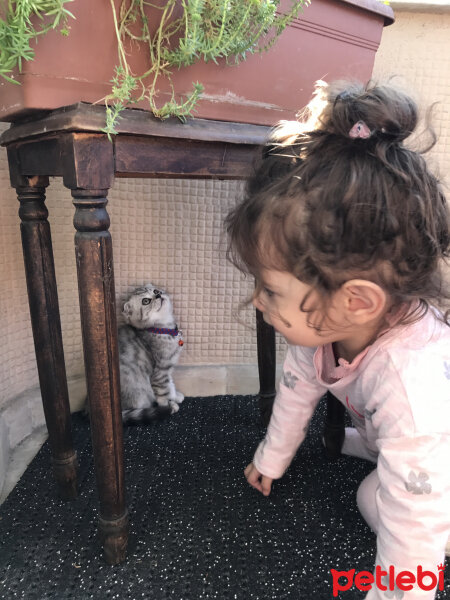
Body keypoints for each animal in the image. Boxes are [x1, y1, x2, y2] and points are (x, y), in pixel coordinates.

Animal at [118, 284, 185, 424]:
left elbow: (170, 384)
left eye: (155, 291)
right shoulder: (160, 373)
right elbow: (164, 392)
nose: (158, 295)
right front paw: (170, 405)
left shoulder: (167, 369)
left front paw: (175, 396)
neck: (163, 329)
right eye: (145, 301)